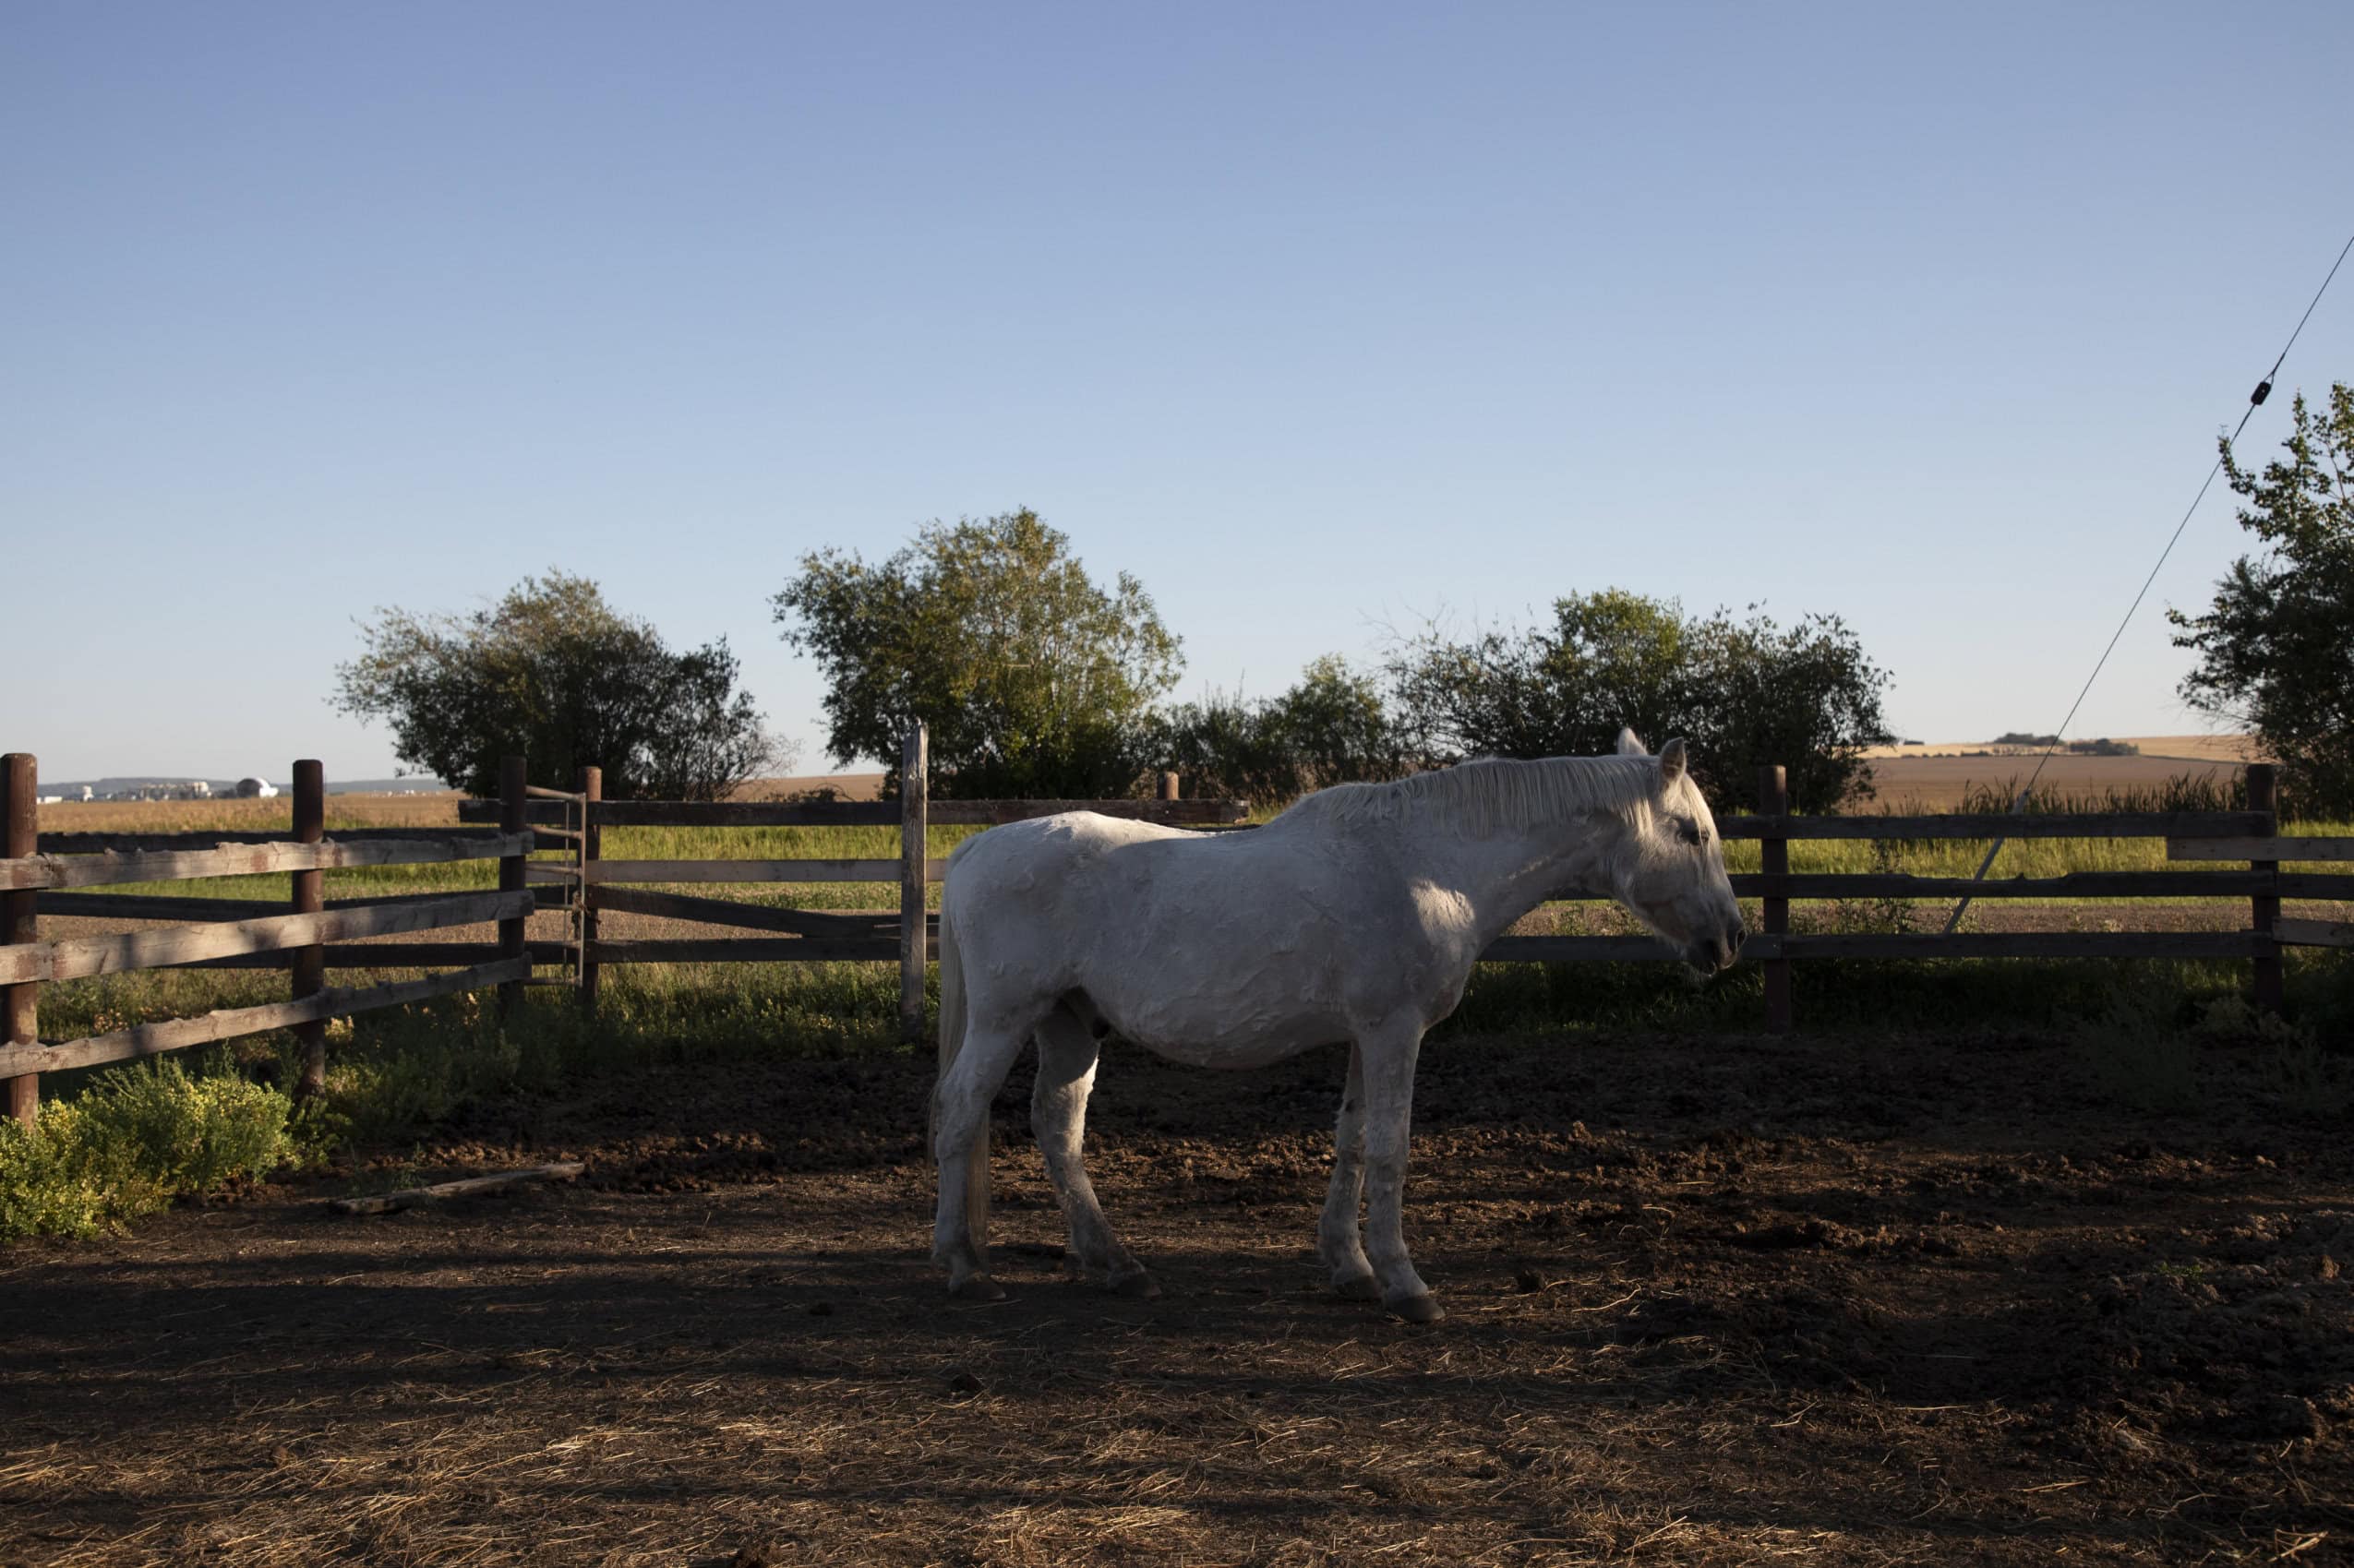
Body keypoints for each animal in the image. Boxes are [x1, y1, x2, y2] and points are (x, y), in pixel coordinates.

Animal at [929, 729, 1745, 1322]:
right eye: (1689, 832)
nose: (1731, 939)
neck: (1430, 865)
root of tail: (973, 847)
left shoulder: (1365, 1036)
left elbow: (1350, 1141)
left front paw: (1349, 1267)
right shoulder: (1394, 1032)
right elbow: (1390, 1148)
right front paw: (1405, 1283)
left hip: (1069, 1023)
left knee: (1057, 1126)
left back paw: (1117, 1266)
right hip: (1005, 1019)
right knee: (961, 1111)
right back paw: (964, 1267)